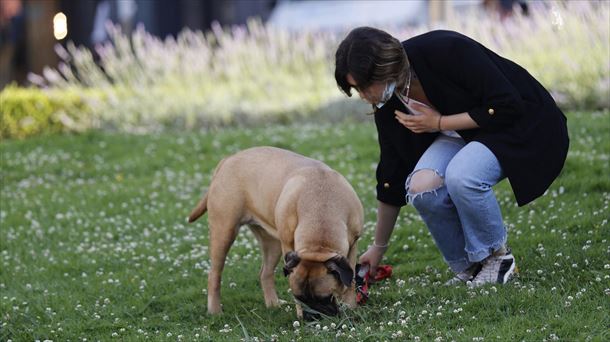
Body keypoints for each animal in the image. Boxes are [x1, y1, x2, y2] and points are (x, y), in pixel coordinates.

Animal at [188, 146, 360, 318]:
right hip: (224, 231)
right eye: (299, 297)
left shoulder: (352, 247)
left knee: (265, 273)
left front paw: (351, 306)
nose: (310, 316)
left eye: (325, 298)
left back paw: (273, 304)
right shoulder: (289, 246)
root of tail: (228, 159)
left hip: (272, 243)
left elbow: (350, 281)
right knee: (214, 275)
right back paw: (215, 310)